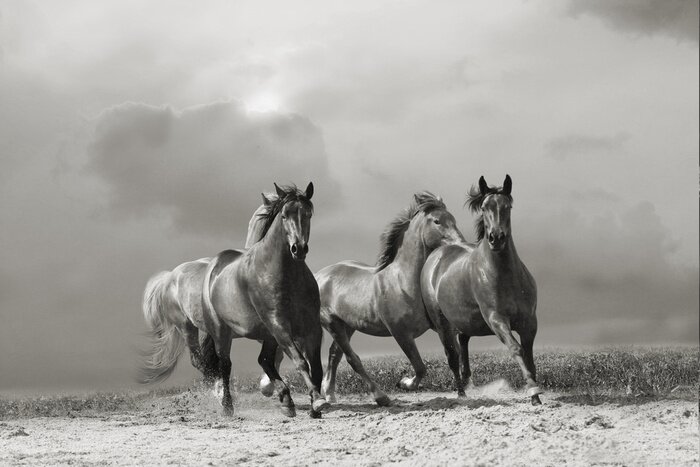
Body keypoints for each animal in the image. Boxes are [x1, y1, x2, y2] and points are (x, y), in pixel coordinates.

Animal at [316, 192, 464, 406]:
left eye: (453, 219)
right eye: (437, 221)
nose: (460, 243)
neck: (403, 282)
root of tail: (318, 276)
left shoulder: (439, 327)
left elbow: (454, 355)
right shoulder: (400, 333)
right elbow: (420, 367)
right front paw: (404, 383)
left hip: (348, 325)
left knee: (334, 355)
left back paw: (330, 394)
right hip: (332, 324)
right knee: (352, 359)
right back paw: (381, 397)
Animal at [420, 175, 543, 405]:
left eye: (507, 206)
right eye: (485, 207)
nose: (496, 238)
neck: (505, 277)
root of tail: (436, 255)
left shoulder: (529, 321)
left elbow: (529, 354)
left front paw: (536, 396)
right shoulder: (496, 319)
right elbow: (517, 349)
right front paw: (533, 390)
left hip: (464, 320)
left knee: (463, 341)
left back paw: (467, 379)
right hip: (442, 323)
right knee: (452, 355)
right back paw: (461, 392)